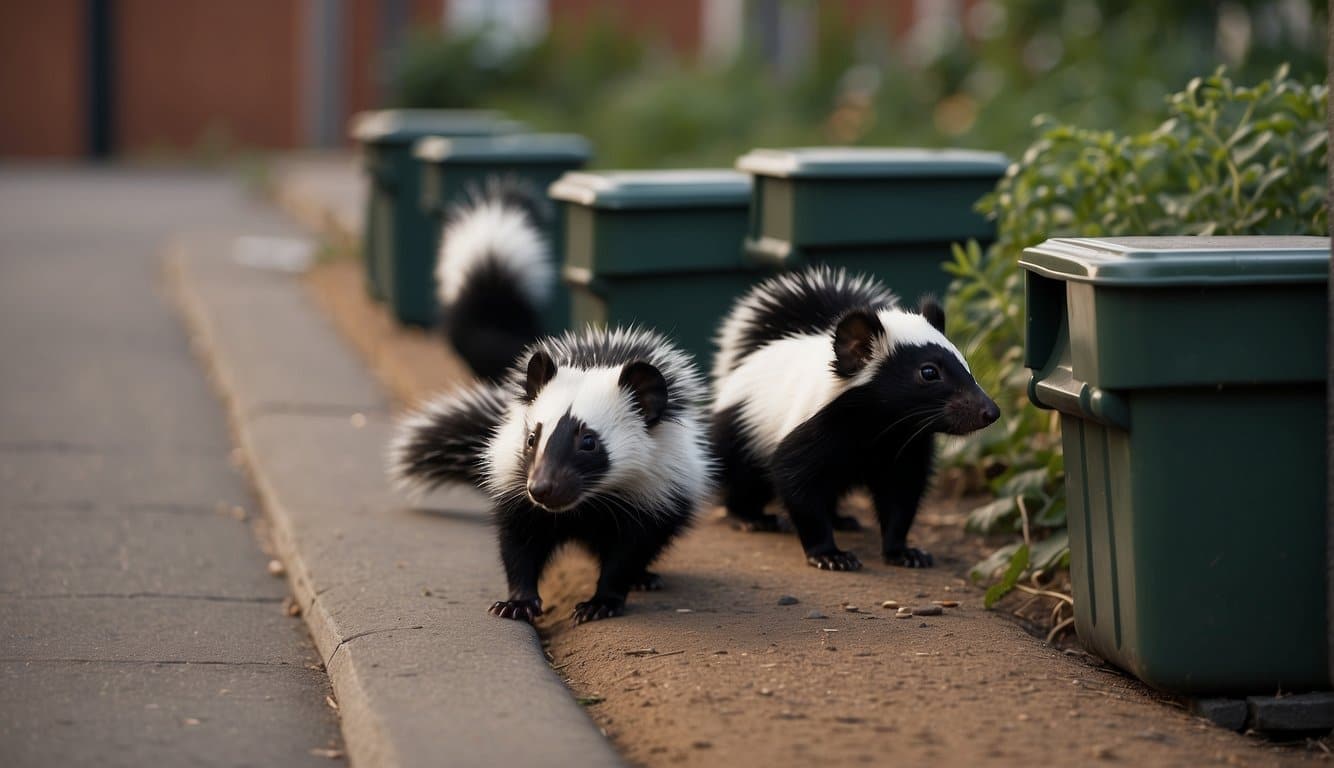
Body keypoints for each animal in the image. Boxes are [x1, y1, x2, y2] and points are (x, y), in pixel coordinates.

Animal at [389, 325, 709, 624]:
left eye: (589, 442)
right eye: (532, 438)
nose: (541, 488)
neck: (587, 505)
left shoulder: (650, 496)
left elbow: (629, 551)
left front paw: (601, 602)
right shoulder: (518, 495)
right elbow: (519, 544)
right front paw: (517, 603)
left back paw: (645, 578)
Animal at [715, 264, 997, 570]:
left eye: (966, 366)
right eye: (929, 372)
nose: (990, 411)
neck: (875, 429)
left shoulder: (903, 447)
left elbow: (901, 494)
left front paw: (902, 551)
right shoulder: (812, 433)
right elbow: (797, 485)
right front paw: (829, 555)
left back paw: (841, 520)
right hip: (741, 429)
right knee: (743, 477)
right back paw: (749, 517)